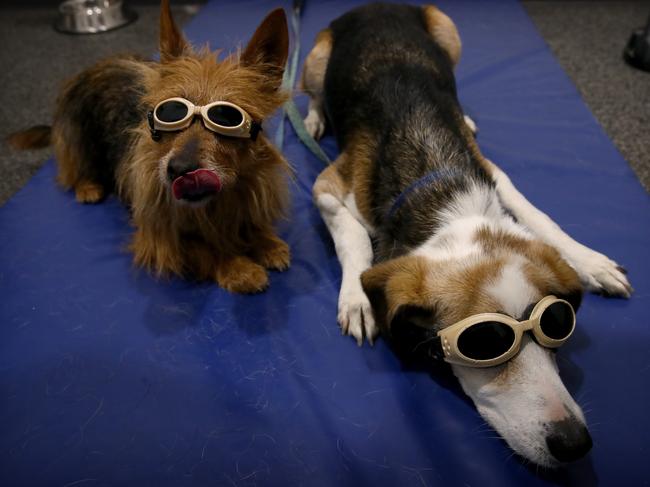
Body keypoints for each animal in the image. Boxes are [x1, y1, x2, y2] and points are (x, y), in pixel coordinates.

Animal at [8, 0, 288, 294]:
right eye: (170, 112)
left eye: (226, 117)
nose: (179, 169)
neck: (217, 202)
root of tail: (93, 67)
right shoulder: (159, 239)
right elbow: (202, 248)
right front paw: (238, 267)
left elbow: (251, 223)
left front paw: (266, 242)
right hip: (78, 136)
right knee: (74, 168)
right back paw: (88, 187)